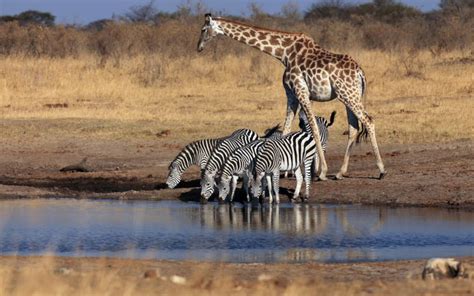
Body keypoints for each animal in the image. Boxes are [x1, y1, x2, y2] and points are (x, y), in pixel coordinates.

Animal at [196, 13, 386, 180]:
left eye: (204, 29)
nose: (199, 47)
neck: (283, 53)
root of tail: (360, 73)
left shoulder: (301, 91)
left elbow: (314, 128)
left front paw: (321, 171)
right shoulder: (291, 94)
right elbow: (286, 129)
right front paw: (285, 169)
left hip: (348, 95)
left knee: (369, 121)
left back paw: (381, 170)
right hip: (348, 96)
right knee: (353, 129)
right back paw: (340, 172)